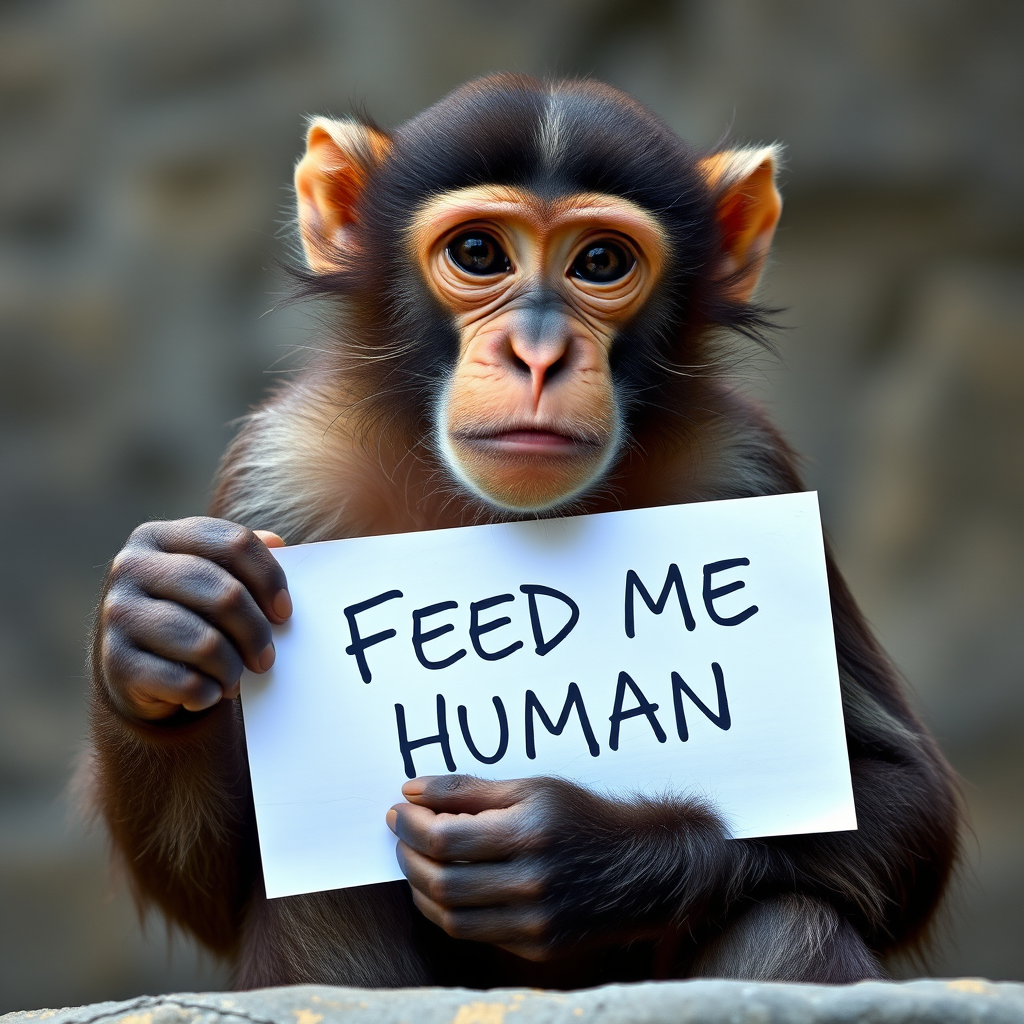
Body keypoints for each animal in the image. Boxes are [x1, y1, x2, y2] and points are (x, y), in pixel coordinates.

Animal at [85, 74, 960, 991]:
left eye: (602, 263)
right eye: (479, 254)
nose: (537, 353)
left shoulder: (745, 464)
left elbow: (904, 801)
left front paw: (577, 854)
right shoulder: (280, 471)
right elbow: (215, 883)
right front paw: (161, 620)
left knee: (791, 919)